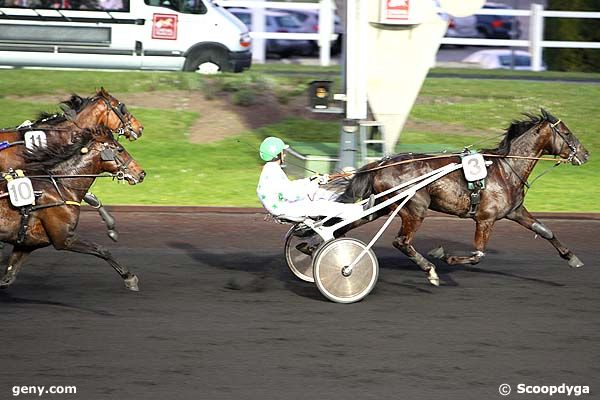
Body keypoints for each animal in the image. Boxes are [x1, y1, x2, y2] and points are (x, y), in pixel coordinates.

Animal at [0, 126, 146, 292]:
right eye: (120, 149)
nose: (141, 173)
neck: (60, 186)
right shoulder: (64, 238)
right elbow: (102, 250)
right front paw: (129, 277)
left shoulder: (25, 243)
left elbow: (8, 277)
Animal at [338, 108, 592, 284]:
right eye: (567, 133)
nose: (586, 154)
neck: (506, 169)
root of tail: (381, 164)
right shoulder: (485, 219)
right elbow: (478, 254)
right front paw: (444, 256)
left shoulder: (515, 211)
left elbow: (545, 230)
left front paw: (572, 257)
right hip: (414, 208)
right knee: (401, 241)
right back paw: (429, 270)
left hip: (383, 206)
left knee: (348, 224)